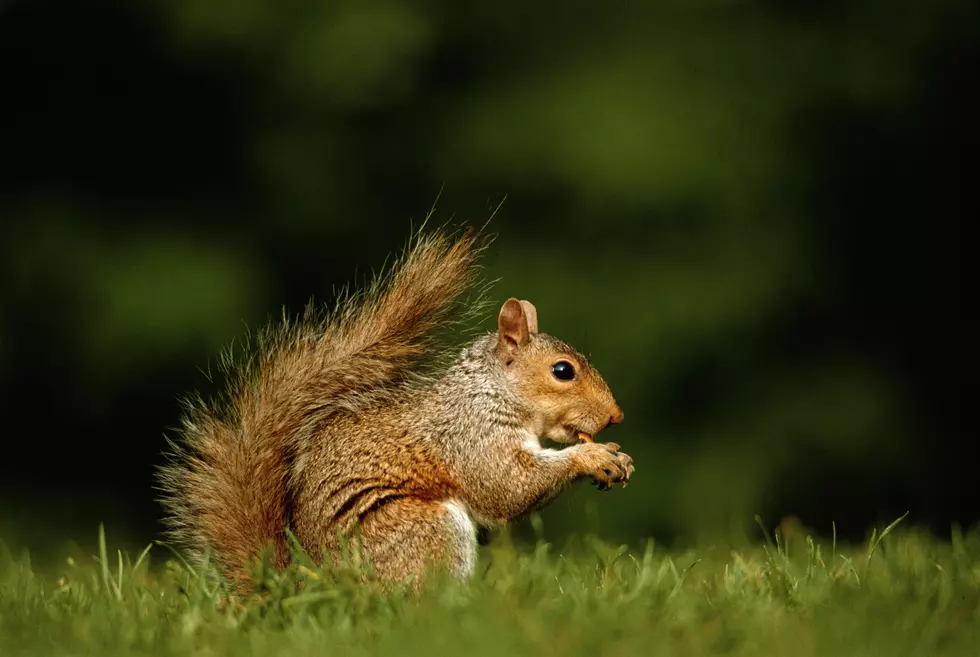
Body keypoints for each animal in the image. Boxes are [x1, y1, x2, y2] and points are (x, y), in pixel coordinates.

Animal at [157, 226, 632, 588]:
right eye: (562, 371)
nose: (616, 416)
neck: (490, 391)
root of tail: (313, 588)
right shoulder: (469, 436)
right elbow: (507, 486)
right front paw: (593, 457)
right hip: (421, 529)